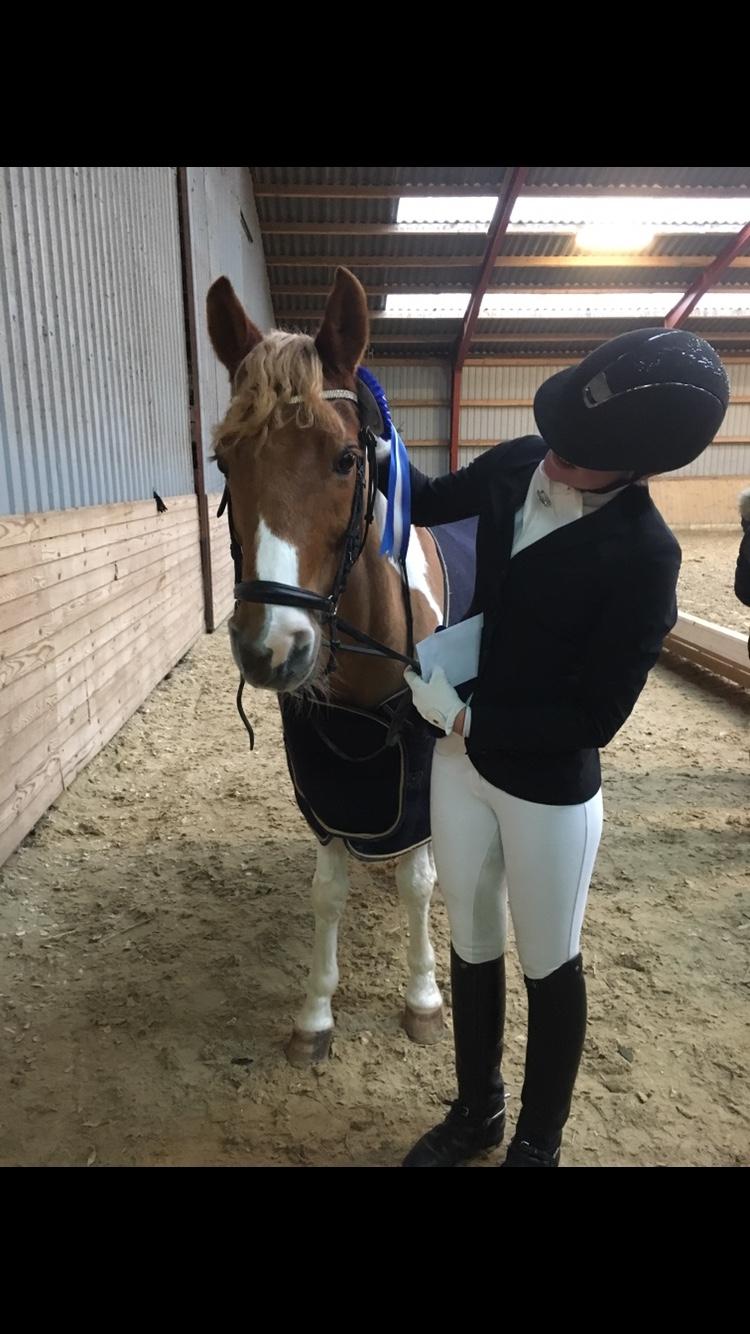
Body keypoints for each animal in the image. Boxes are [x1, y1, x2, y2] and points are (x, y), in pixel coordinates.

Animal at [207, 267, 461, 1066]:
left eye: (346, 459)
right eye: (224, 461)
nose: (271, 644)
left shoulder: (417, 772)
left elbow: (418, 882)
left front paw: (423, 997)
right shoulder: (323, 782)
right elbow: (329, 890)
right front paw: (316, 1010)